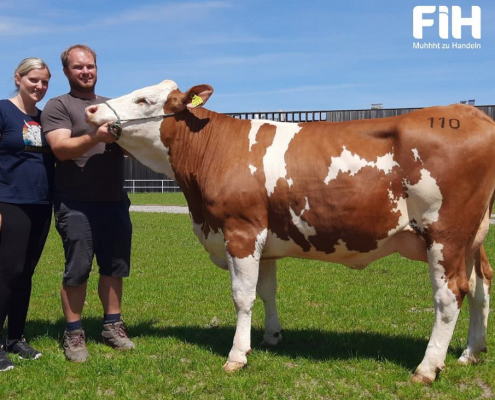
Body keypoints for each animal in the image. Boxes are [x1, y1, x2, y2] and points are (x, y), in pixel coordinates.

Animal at [85, 80, 492, 384]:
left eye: (143, 99)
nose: (91, 111)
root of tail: (471, 114)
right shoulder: (264, 240)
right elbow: (266, 291)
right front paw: (271, 336)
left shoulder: (241, 231)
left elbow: (242, 296)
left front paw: (237, 355)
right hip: (472, 239)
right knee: (480, 285)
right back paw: (470, 353)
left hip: (445, 234)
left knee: (450, 294)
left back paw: (427, 368)